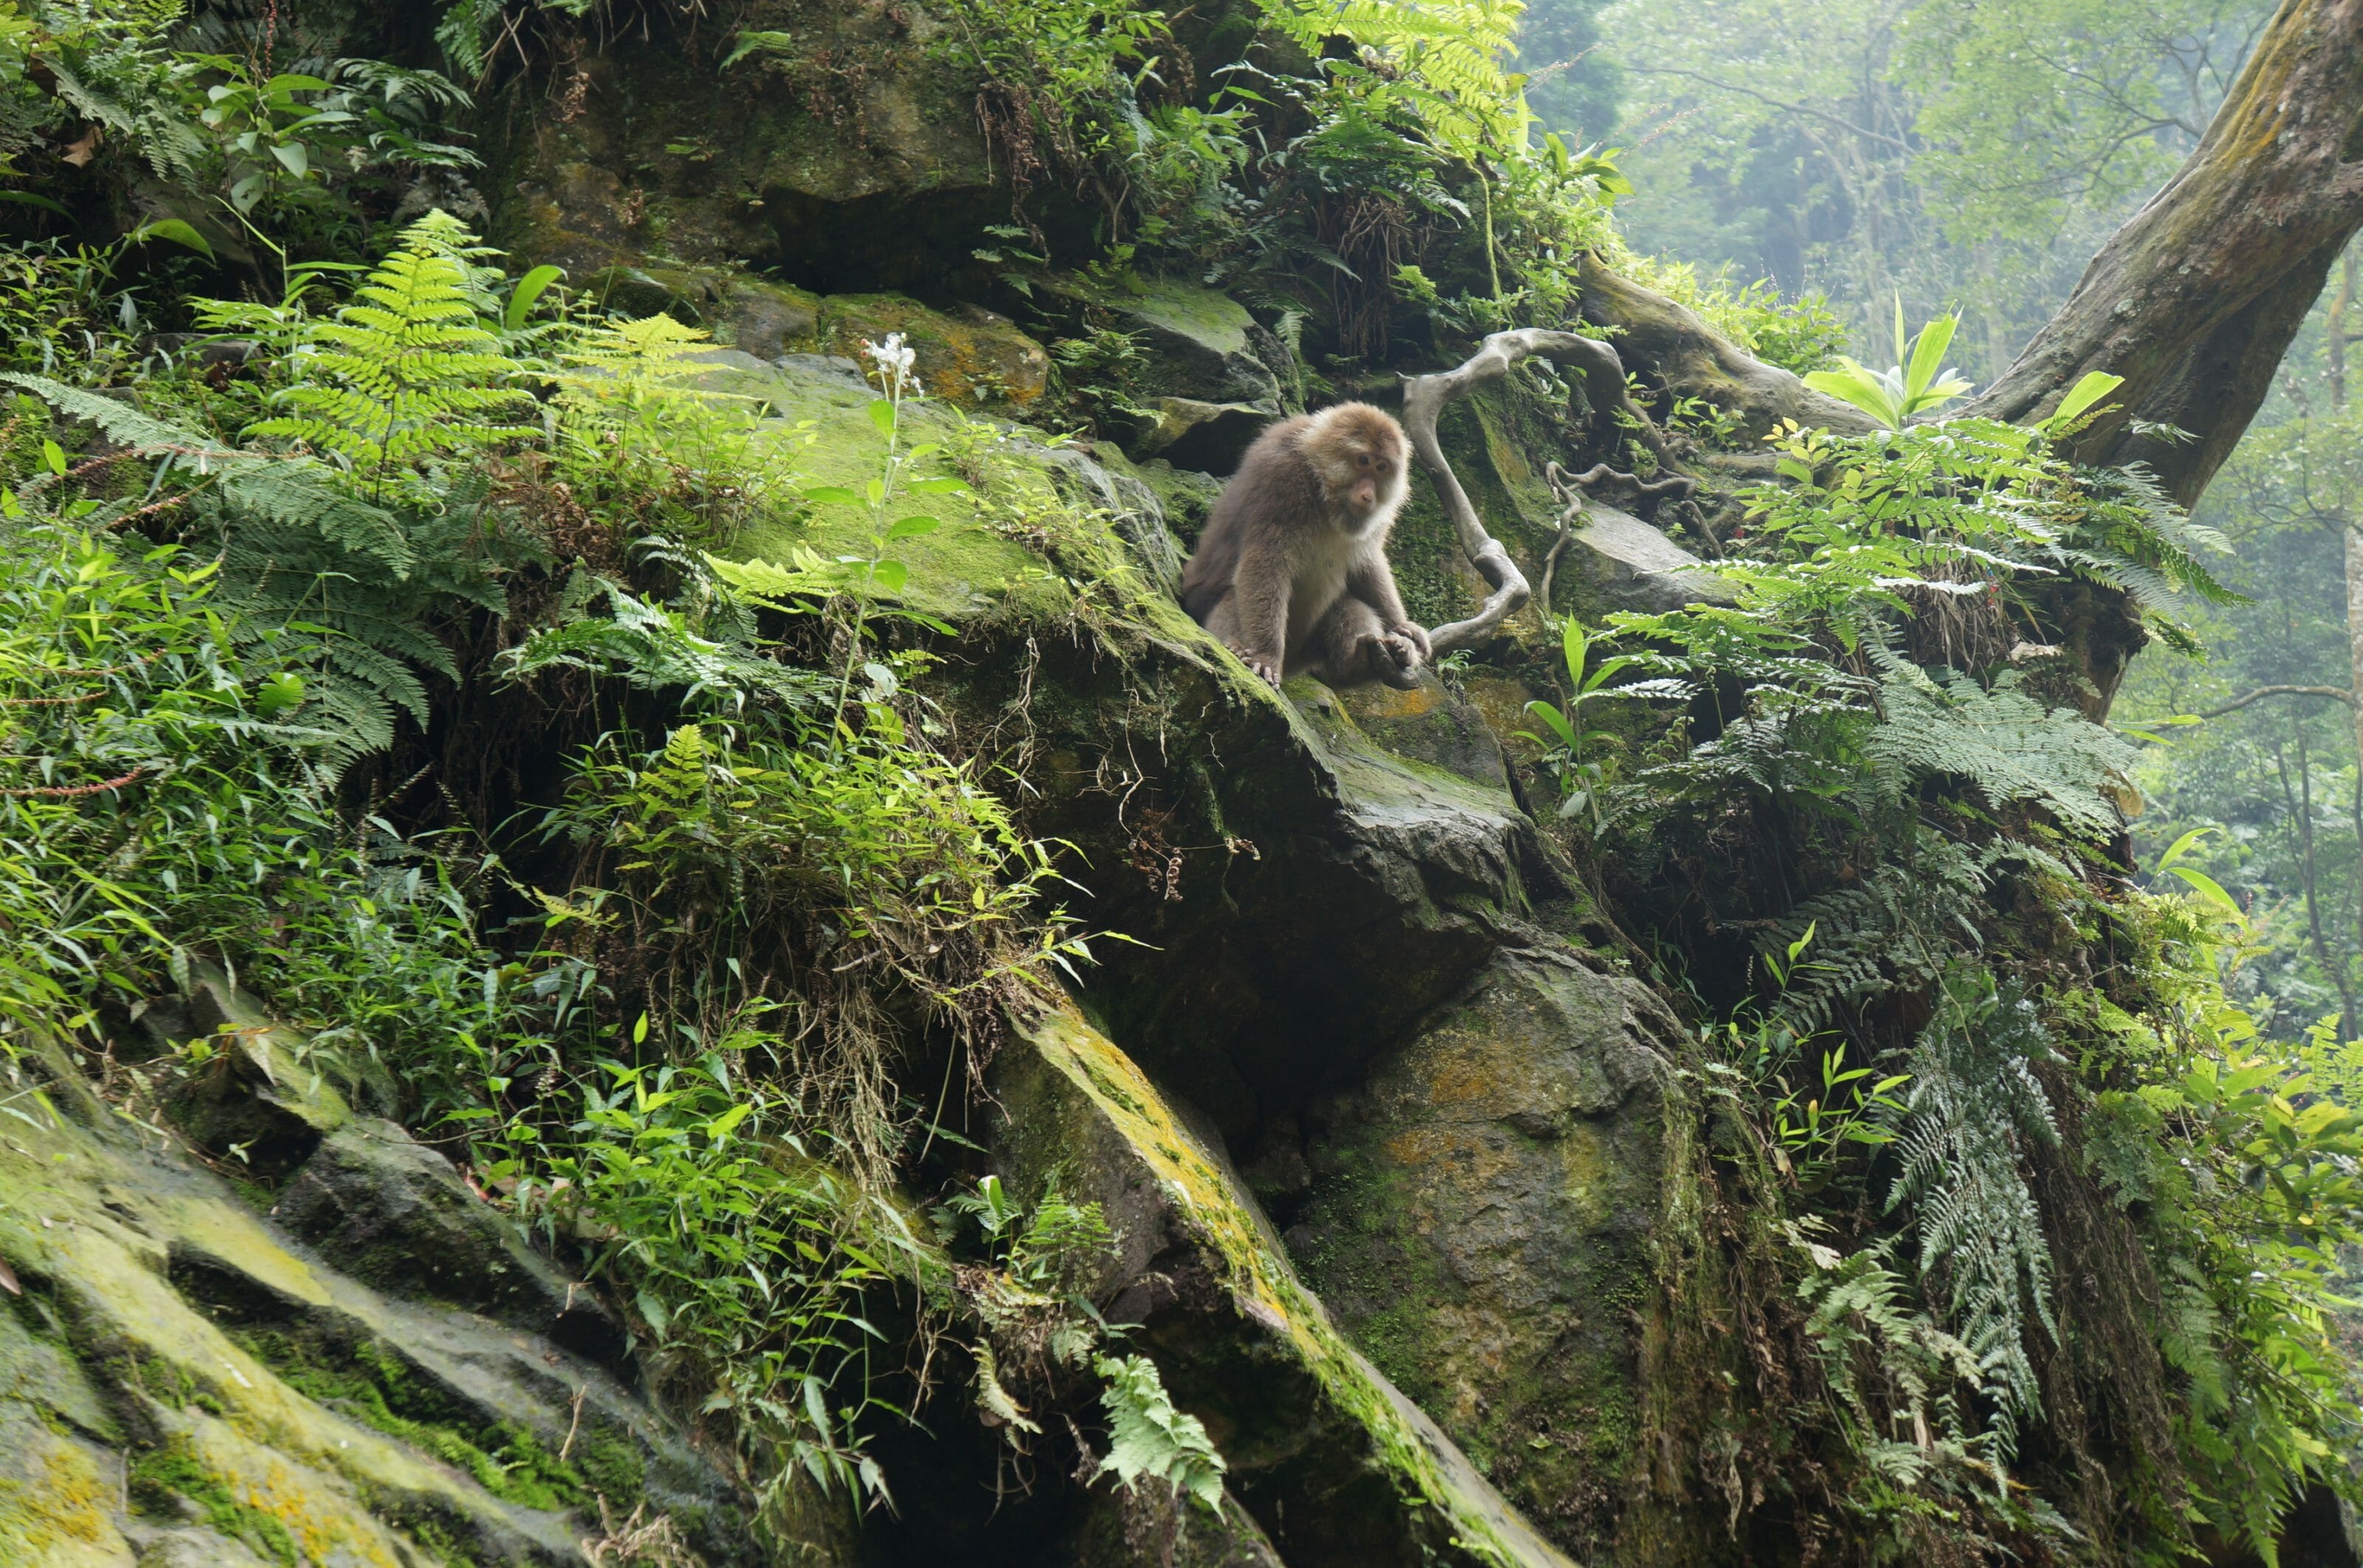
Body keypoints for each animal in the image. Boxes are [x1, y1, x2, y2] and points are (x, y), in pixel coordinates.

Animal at [1176, 401, 1427, 690]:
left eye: (1381, 467)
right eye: (1363, 461)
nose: (1368, 496)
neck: (1323, 490)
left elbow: (1366, 564)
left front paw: (1404, 628)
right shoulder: (1283, 479)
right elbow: (1265, 559)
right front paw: (1265, 655)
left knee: (1348, 603)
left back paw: (1361, 661)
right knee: (1234, 593)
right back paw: (1237, 646)